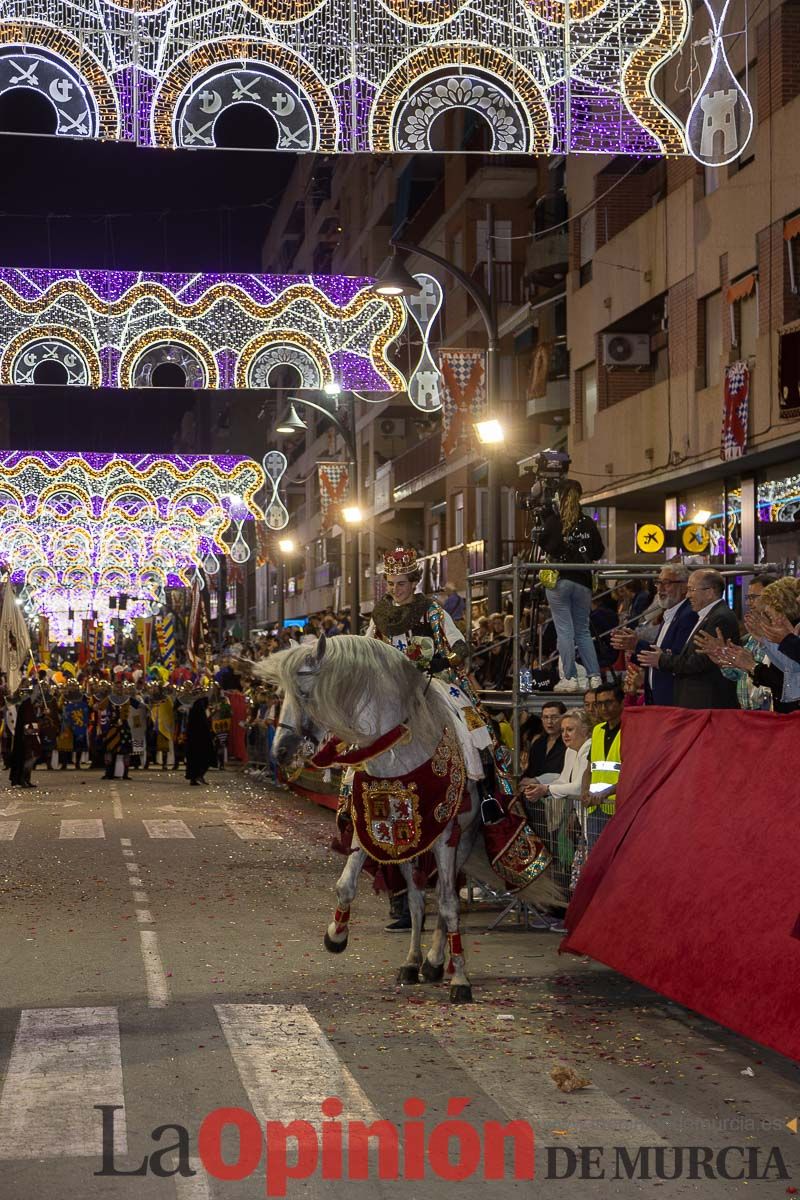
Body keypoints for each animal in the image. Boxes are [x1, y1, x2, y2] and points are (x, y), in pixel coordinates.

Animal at [253, 638, 484, 1003]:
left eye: (304, 692)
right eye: (281, 693)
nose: (279, 753)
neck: (398, 752)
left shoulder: (446, 835)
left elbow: (449, 905)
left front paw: (460, 980)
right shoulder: (373, 831)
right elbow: (345, 886)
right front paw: (336, 934)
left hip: (463, 838)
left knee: (445, 897)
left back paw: (435, 961)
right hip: (411, 849)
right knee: (417, 900)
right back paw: (412, 962)